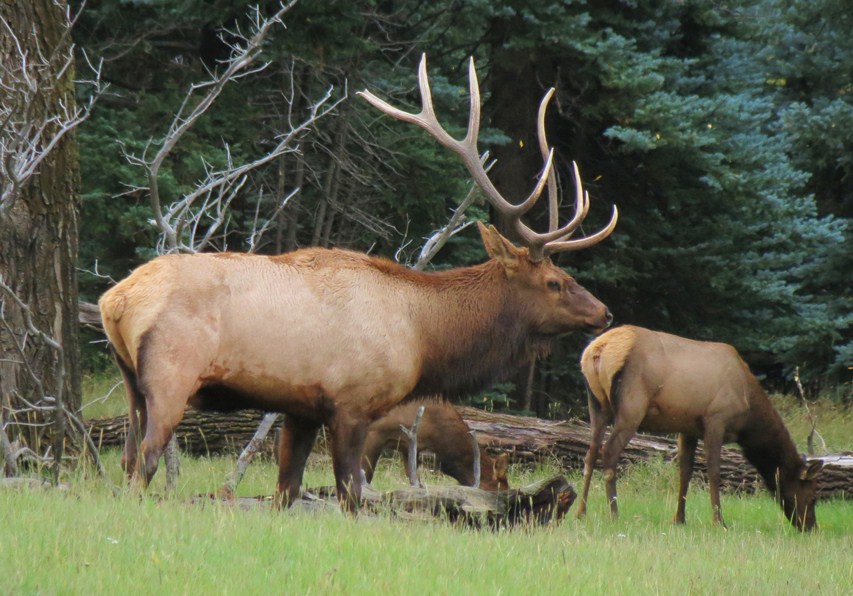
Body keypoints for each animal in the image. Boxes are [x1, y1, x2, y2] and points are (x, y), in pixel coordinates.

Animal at [575, 325, 824, 530]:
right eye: (813, 495)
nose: (810, 526)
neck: (748, 413)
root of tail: (598, 351)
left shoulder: (687, 428)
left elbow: (685, 471)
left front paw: (679, 519)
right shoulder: (716, 419)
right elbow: (713, 471)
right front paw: (719, 521)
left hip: (597, 405)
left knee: (590, 453)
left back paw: (581, 512)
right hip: (631, 407)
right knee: (609, 452)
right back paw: (614, 514)